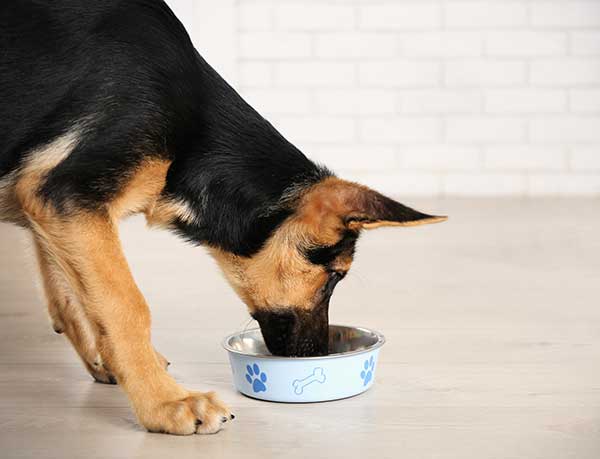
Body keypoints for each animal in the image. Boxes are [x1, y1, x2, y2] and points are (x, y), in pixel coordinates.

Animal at [0, 0, 446, 436]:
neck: (192, 138)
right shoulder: (67, 194)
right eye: (335, 276)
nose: (317, 355)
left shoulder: (49, 205)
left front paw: (114, 365)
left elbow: (72, 300)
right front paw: (165, 402)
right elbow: (125, 305)